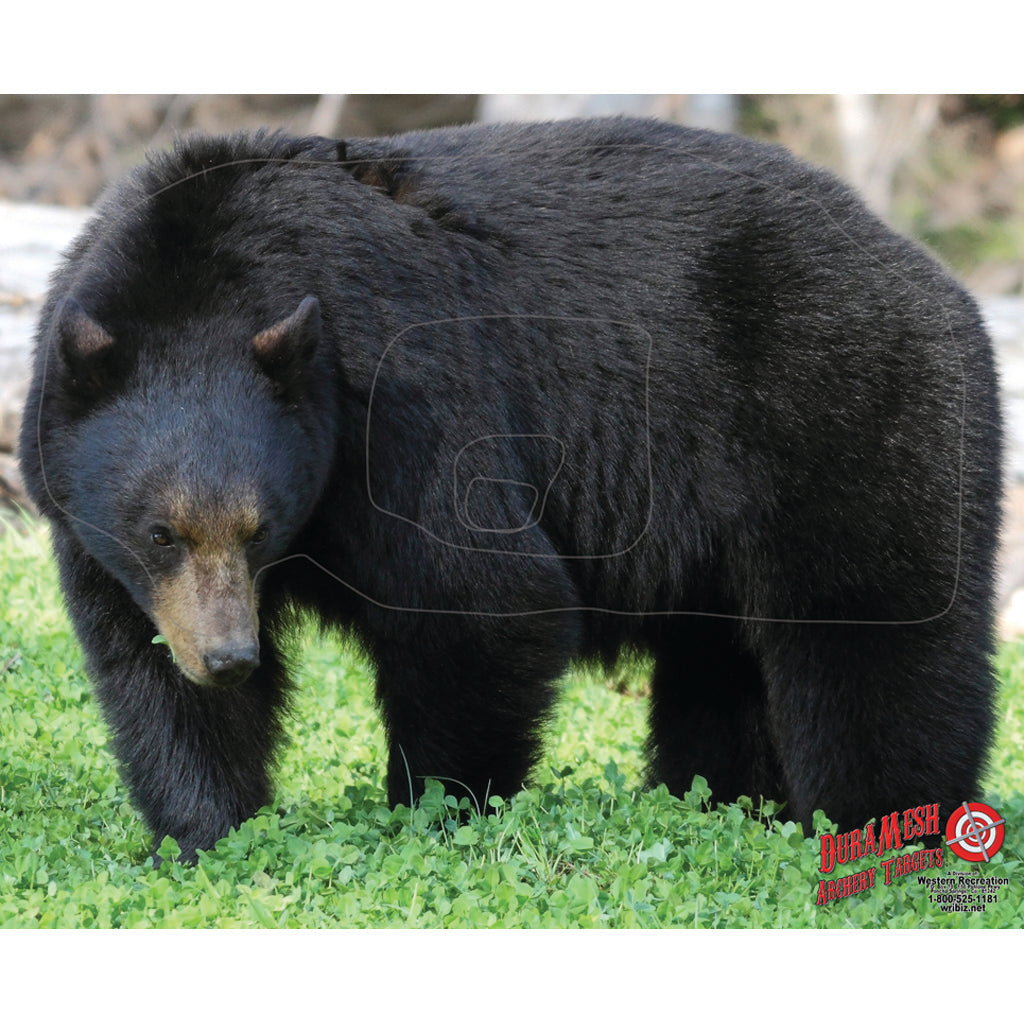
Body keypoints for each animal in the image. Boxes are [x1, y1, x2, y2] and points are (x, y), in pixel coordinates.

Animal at [19, 117, 1002, 864]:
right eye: (161, 532)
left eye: (259, 527)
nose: (230, 657)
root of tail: (933, 274)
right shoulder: (104, 533)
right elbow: (146, 667)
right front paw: (201, 832)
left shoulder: (404, 396)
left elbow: (481, 599)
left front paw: (433, 808)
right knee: (723, 666)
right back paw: (718, 800)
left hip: (843, 410)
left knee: (873, 634)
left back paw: (884, 822)